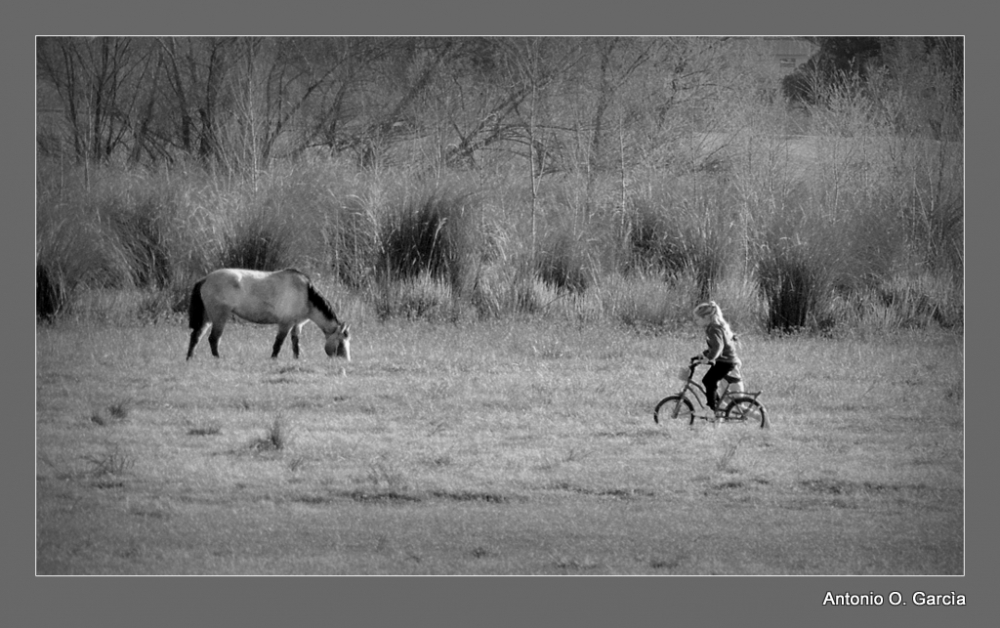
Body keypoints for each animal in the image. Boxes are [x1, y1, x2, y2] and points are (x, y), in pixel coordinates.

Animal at [188, 266, 352, 364]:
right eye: (341, 342)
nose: (346, 361)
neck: (306, 295)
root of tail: (205, 279)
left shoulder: (297, 324)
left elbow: (295, 342)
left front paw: (296, 359)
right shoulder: (285, 323)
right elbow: (278, 343)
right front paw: (273, 359)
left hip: (207, 318)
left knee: (196, 336)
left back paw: (189, 358)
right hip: (219, 317)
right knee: (213, 339)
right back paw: (217, 359)